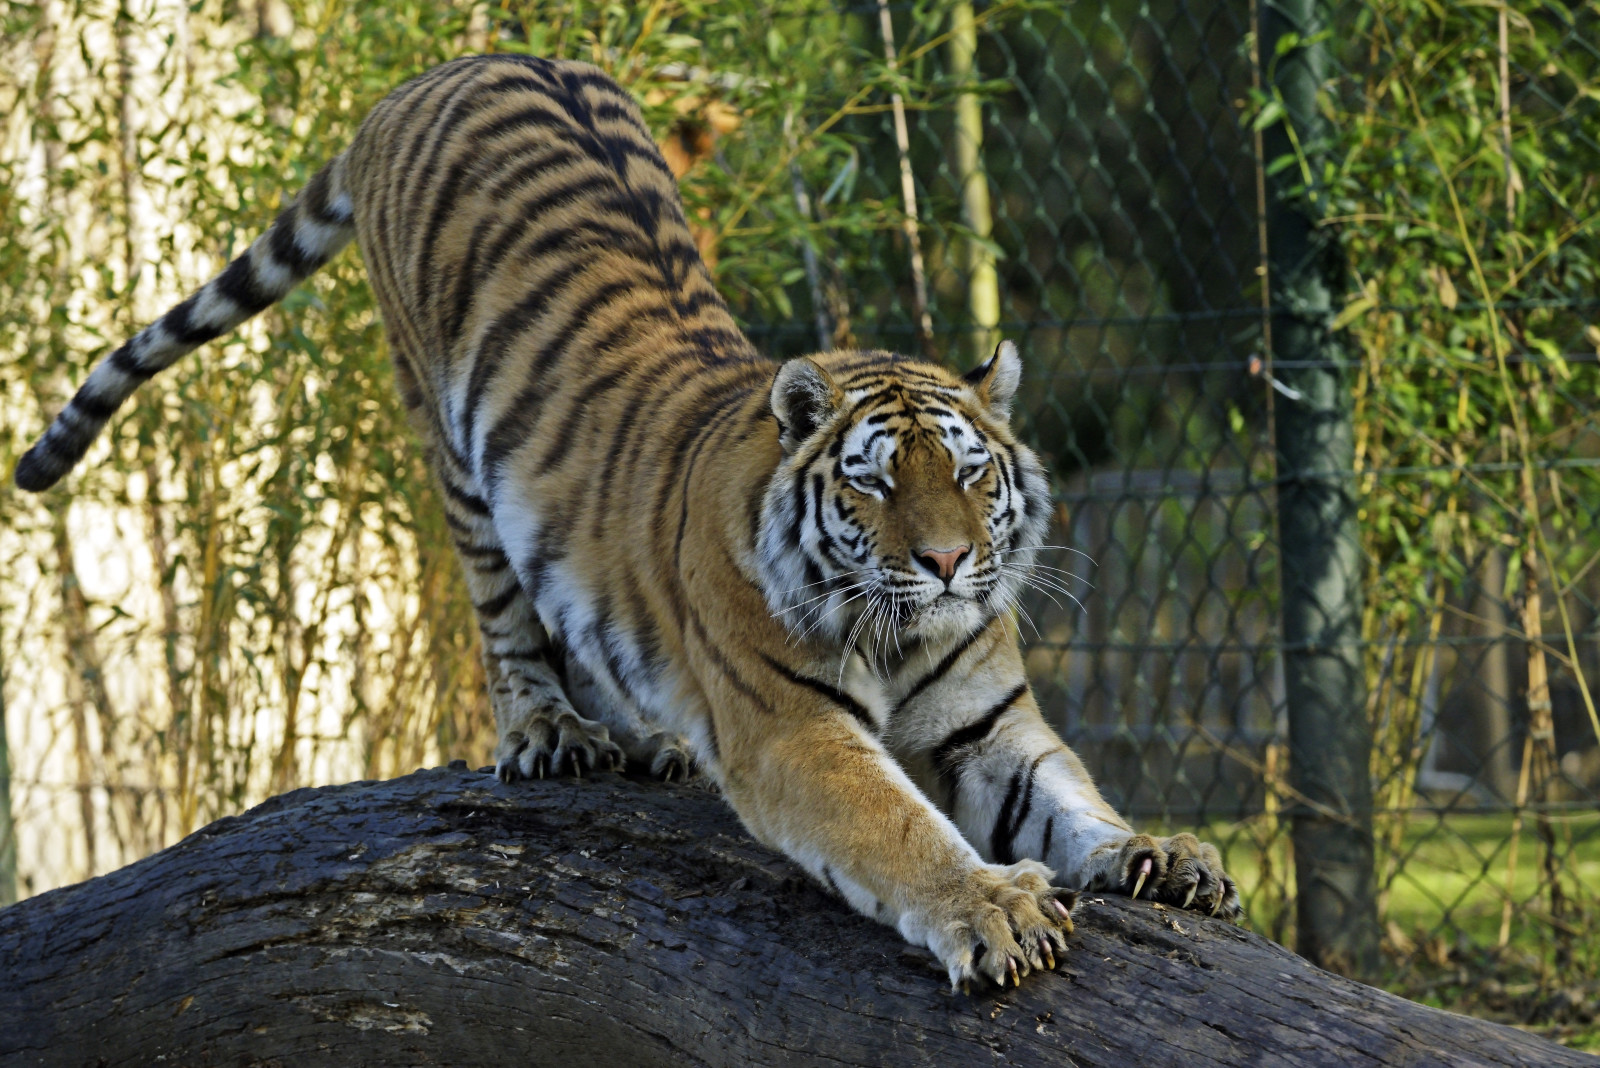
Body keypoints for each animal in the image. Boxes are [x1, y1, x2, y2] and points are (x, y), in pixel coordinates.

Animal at [15, 54, 1235, 991]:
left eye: (973, 475)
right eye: (878, 484)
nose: (946, 563)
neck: (902, 630)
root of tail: (431, 74)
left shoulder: (989, 724)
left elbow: (1072, 801)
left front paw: (1161, 856)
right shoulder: (793, 731)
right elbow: (896, 831)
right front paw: (991, 908)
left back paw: (648, 742)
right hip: (448, 441)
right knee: (507, 619)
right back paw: (551, 734)